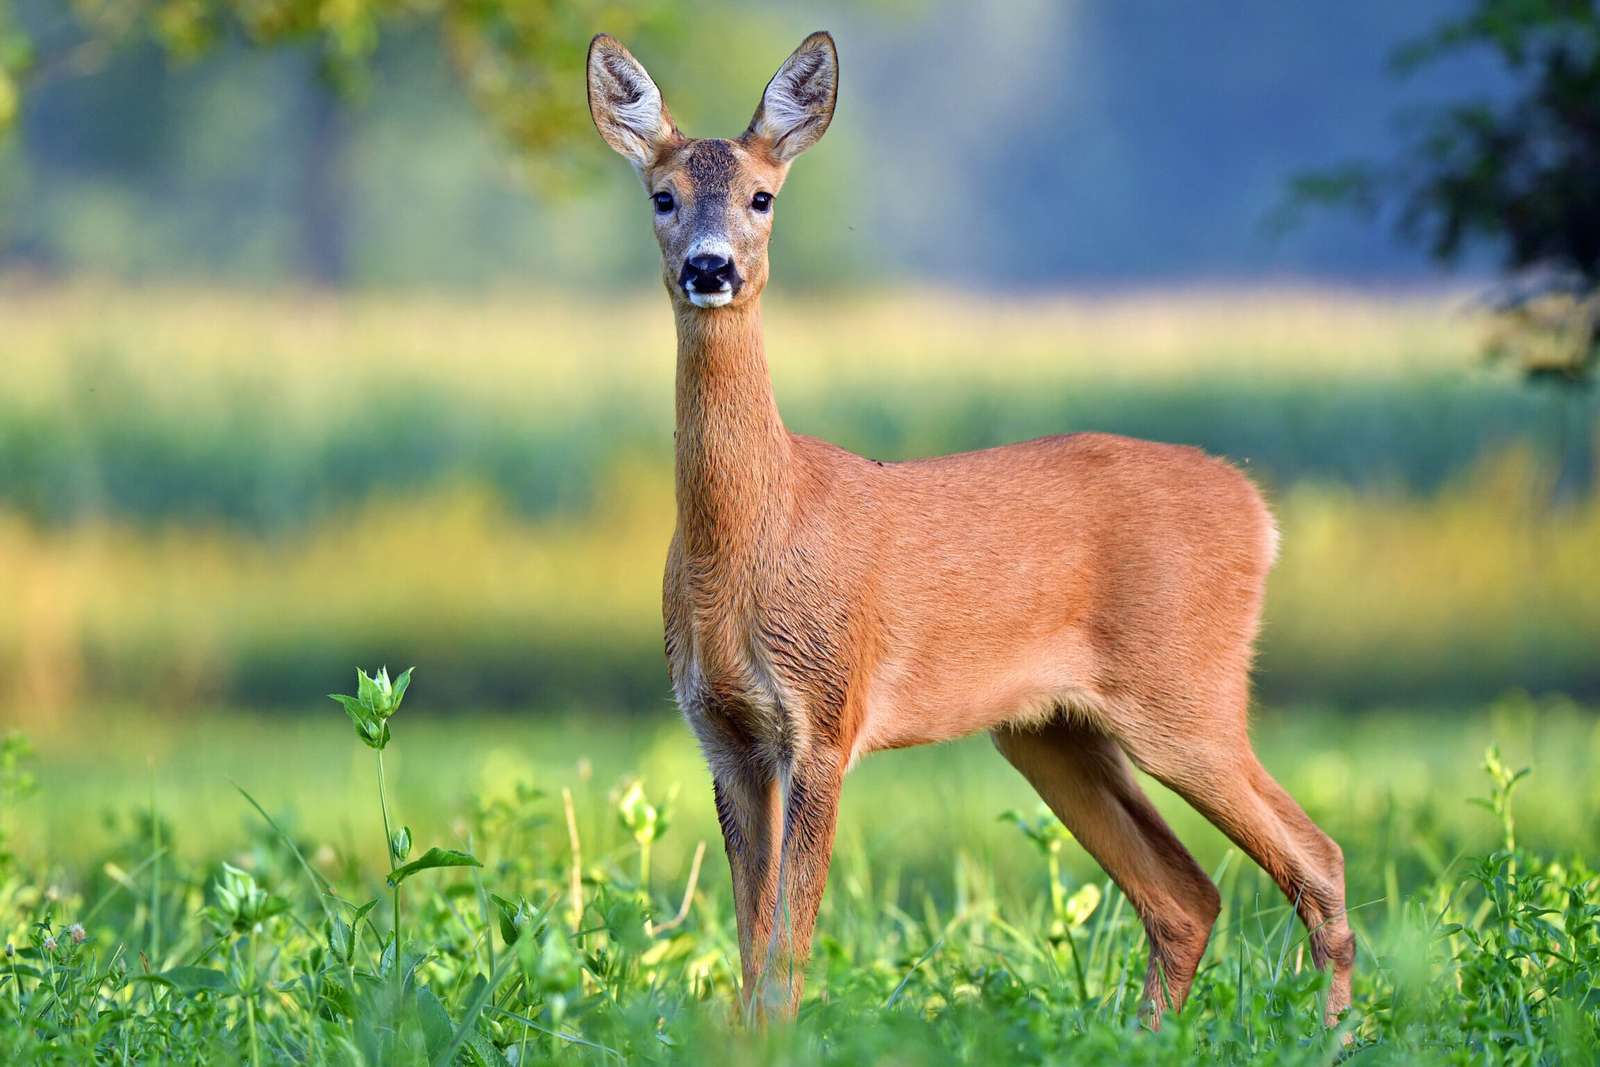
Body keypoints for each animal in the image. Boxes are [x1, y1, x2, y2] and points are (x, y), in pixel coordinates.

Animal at [585, 29, 1350, 1030]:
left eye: (762, 196)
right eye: (662, 196)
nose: (709, 268)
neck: (755, 535)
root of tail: (1259, 512)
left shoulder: (826, 712)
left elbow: (787, 948)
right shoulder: (723, 731)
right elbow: (751, 953)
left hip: (1187, 689)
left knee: (1317, 861)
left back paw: (1338, 1036)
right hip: (1049, 728)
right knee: (1186, 894)